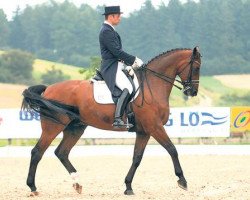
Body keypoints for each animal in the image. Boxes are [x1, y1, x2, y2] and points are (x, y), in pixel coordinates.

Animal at [21, 46, 201, 195]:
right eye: (197, 67)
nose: (192, 92)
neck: (153, 86)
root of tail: (48, 89)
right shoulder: (155, 127)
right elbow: (172, 149)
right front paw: (182, 181)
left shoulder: (144, 131)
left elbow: (137, 158)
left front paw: (128, 186)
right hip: (53, 126)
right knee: (37, 152)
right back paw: (33, 187)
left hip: (75, 127)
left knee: (62, 152)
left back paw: (78, 184)